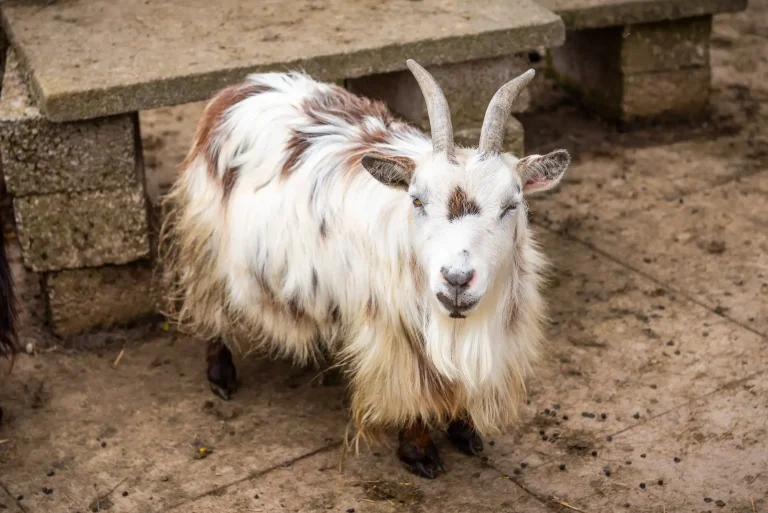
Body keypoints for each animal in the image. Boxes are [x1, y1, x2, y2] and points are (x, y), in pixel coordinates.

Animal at [159, 60, 569, 478]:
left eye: (511, 205)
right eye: (416, 200)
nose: (457, 279)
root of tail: (239, 88)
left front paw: (464, 431)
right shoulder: (397, 333)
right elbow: (410, 388)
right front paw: (419, 452)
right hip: (208, 244)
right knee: (211, 305)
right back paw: (220, 375)